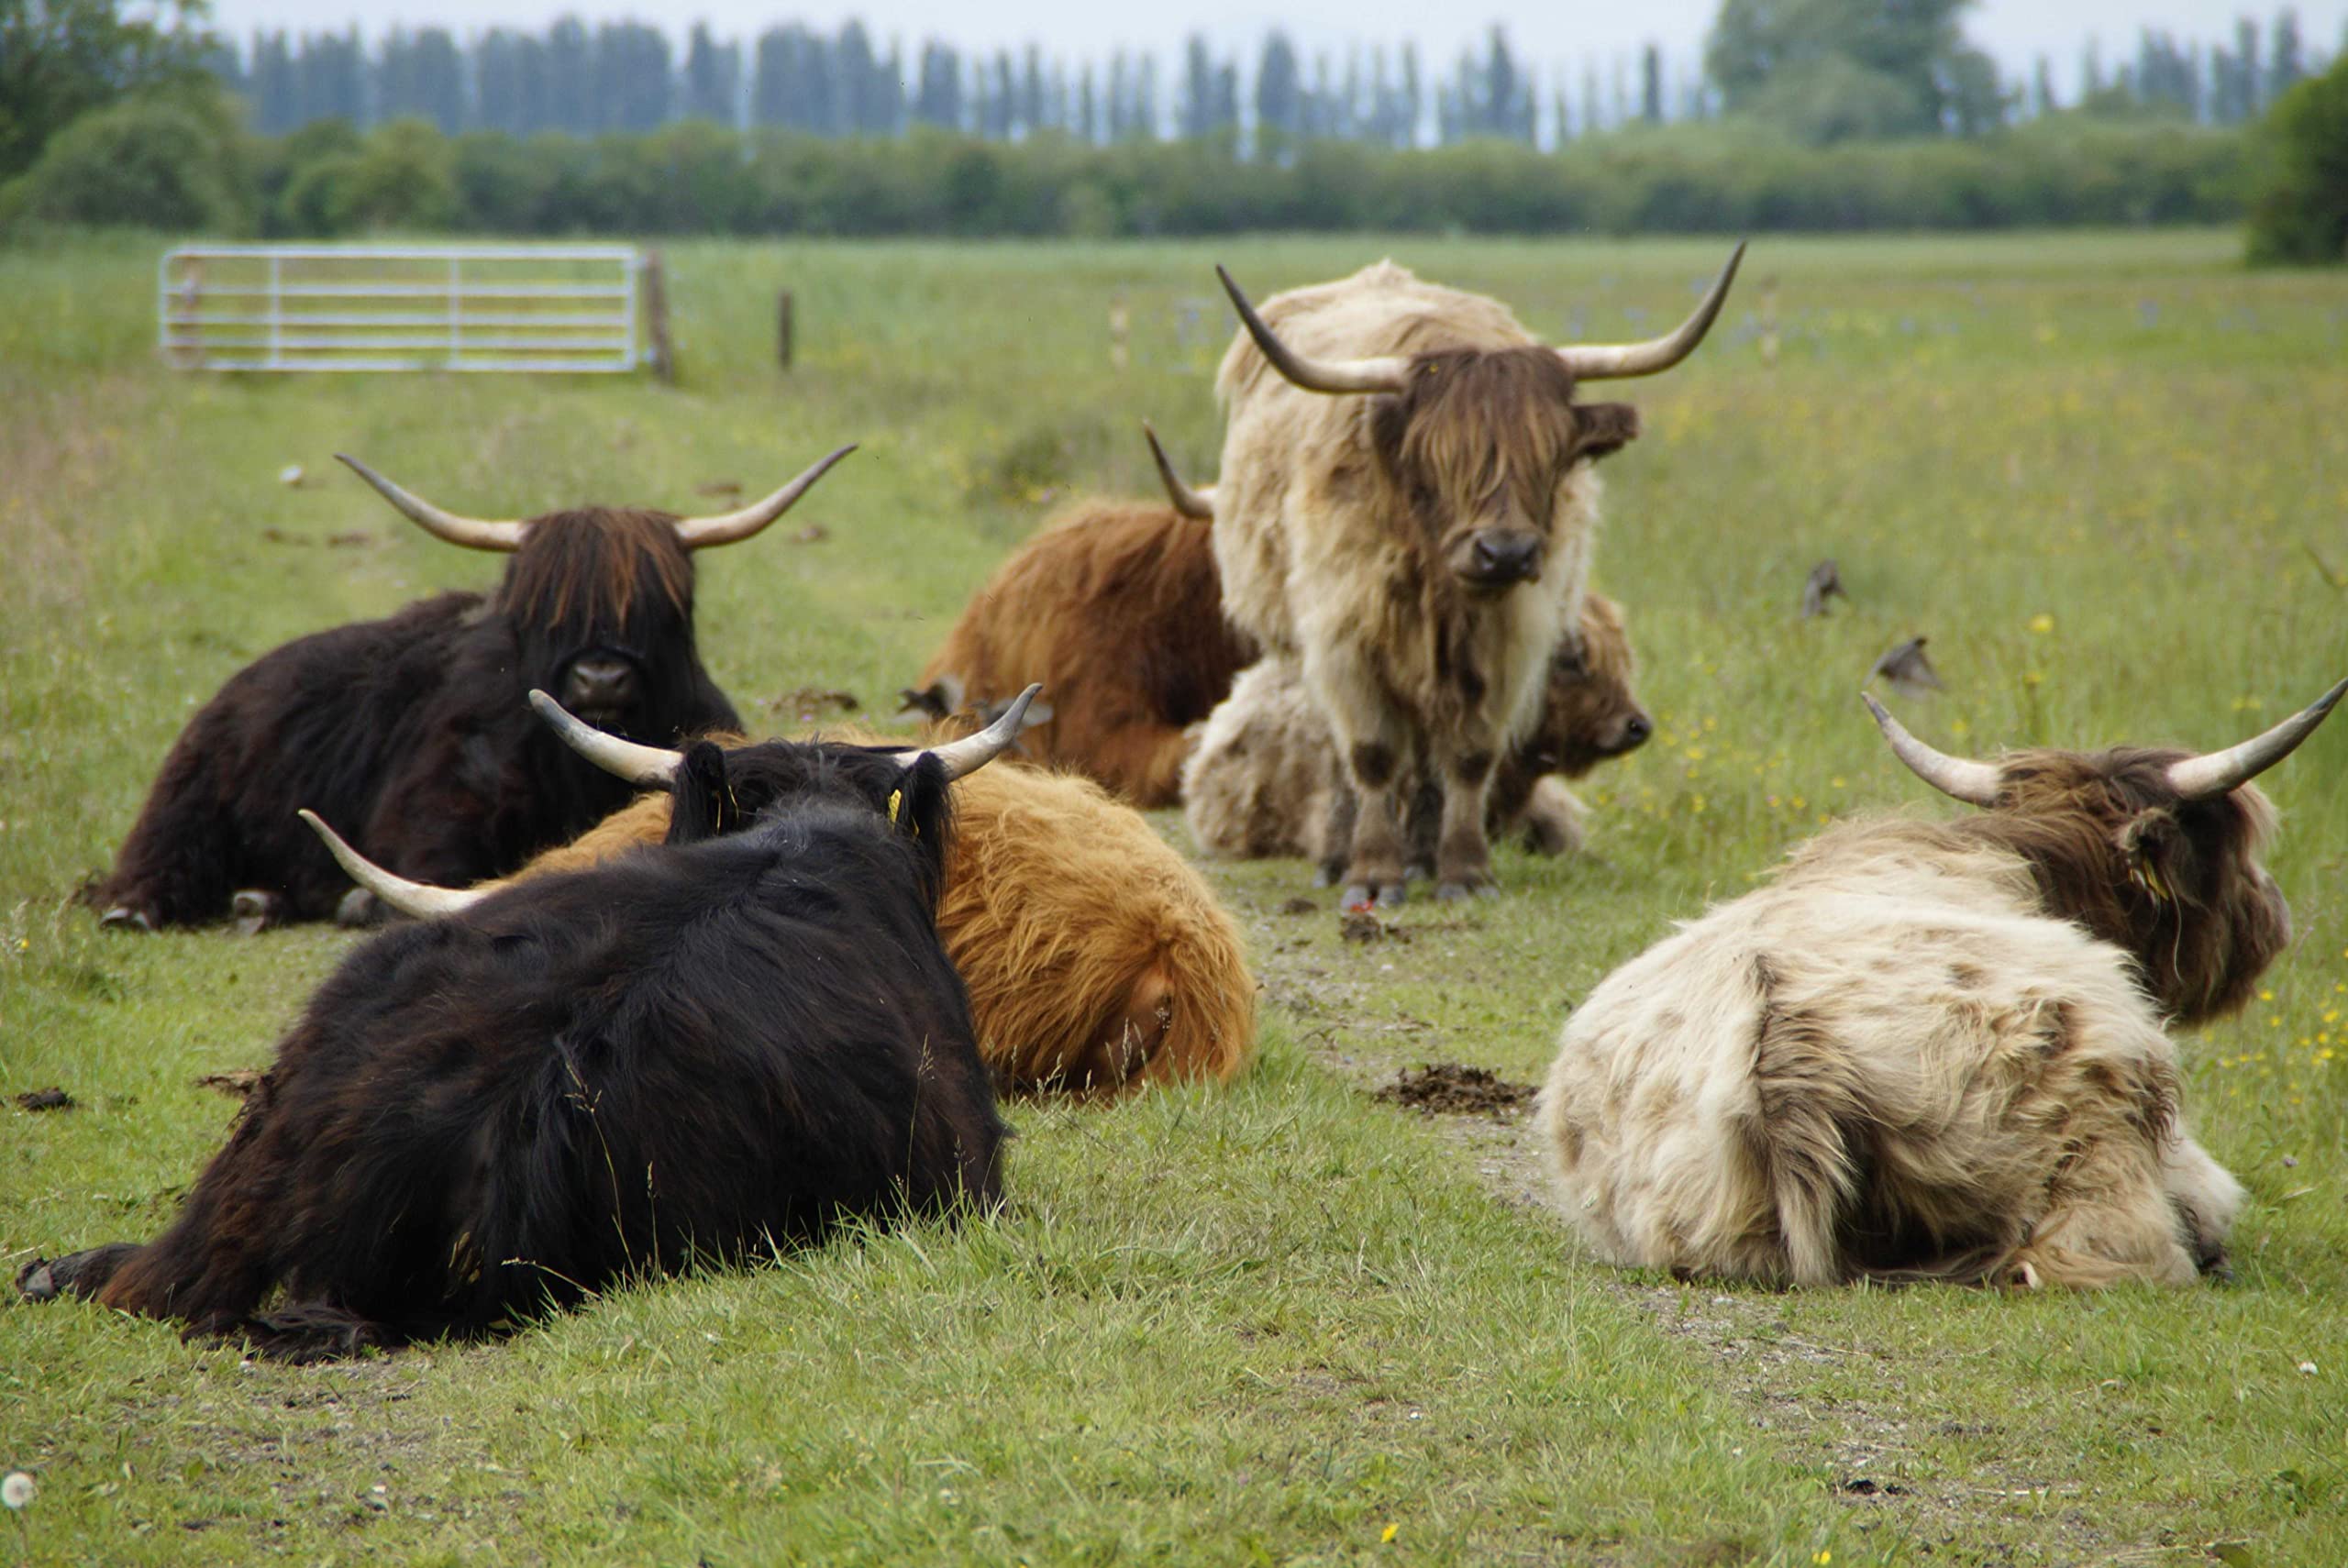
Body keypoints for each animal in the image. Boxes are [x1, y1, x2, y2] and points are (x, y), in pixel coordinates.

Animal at [85, 446, 852, 933]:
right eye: (546, 611)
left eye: (661, 607)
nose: (601, 676)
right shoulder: (436, 809)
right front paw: (364, 905)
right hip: (192, 792)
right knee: (162, 851)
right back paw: (141, 907)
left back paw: (259, 903)